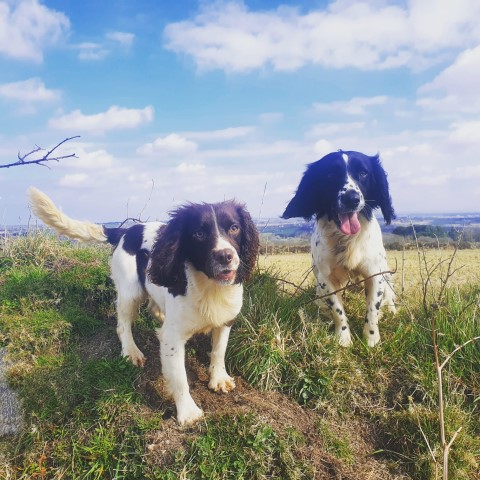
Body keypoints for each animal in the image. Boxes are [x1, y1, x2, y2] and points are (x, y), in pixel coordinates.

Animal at [28, 188, 258, 424]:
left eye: (234, 228)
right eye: (199, 233)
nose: (226, 256)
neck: (209, 286)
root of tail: (126, 231)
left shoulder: (226, 320)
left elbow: (219, 350)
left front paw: (219, 379)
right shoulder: (173, 339)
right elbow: (179, 377)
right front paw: (188, 412)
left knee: (153, 308)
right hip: (131, 292)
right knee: (123, 324)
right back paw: (131, 351)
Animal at [284, 150, 396, 344]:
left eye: (363, 172)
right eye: (330, 174)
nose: (351, 199)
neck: (347, 239)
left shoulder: (374, 274)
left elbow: (372, 310)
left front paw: (371, 340)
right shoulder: (326, 278)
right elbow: (337, 310)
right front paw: (343, 339)